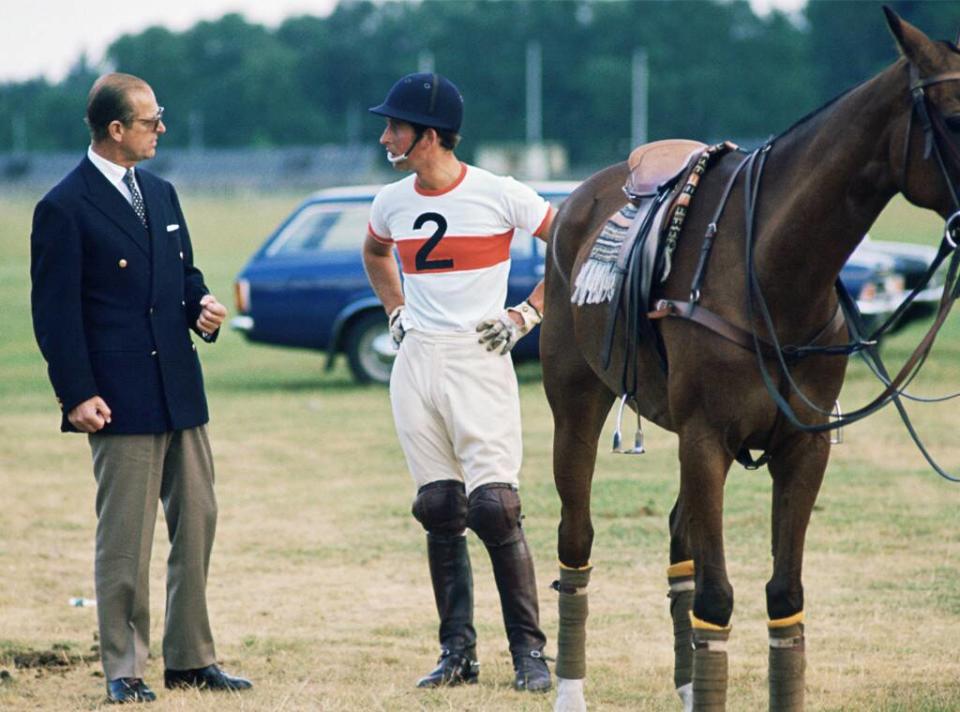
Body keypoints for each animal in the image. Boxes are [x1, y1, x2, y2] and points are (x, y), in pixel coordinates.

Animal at [540, 9, 960, 712]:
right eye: (953, 118)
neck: (772, 268)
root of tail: (573, 202)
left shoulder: (803, 445)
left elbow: (783, 597)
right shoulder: (707, 437)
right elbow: (716, 598)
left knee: (680, 541)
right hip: (576, 404)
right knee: (578, 538)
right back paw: (570, 689)